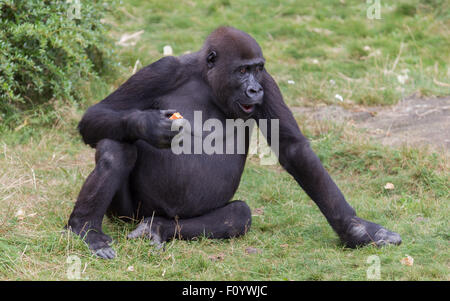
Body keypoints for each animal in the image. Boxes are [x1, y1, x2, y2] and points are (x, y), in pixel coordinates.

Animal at [67, 26, 400, 258]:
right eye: (242, 70)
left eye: (257, 69)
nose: (254, 90)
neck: (207, 79)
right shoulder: (164, 68)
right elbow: (97, 114)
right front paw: (148, 125)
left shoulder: (269, 82)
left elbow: (292, 147)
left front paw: (356, 230)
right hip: (127, 213)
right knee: (115, 146)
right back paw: (85, 229)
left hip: (173, 216)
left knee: (238, 215)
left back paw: (157, 228)